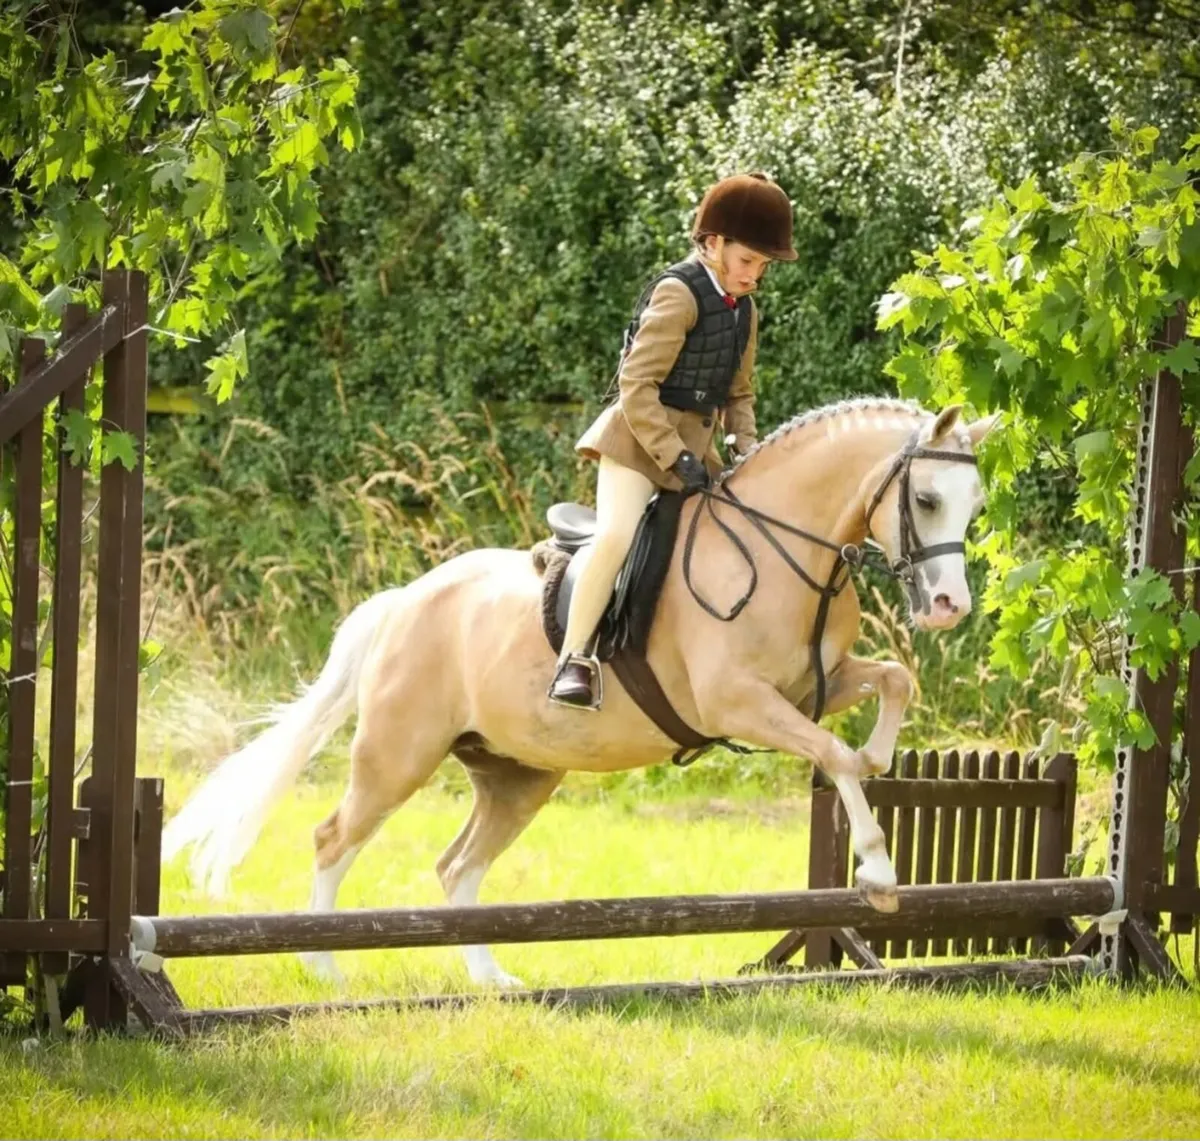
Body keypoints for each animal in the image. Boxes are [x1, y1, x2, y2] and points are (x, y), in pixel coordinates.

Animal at [162, 396, 997, 987]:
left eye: (975, 505)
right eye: (927, 500)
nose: (949, 606)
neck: (778, 545)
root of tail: (404, 599)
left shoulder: (809, 687)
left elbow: (893, 683)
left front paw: (883, 756)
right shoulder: (739, 702)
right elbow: (838, 755)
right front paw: (879, 873)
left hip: (518, 775)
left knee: (457, 866)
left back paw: (491, 978)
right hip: (398, 756)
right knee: (334, 837)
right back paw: (324, 965)